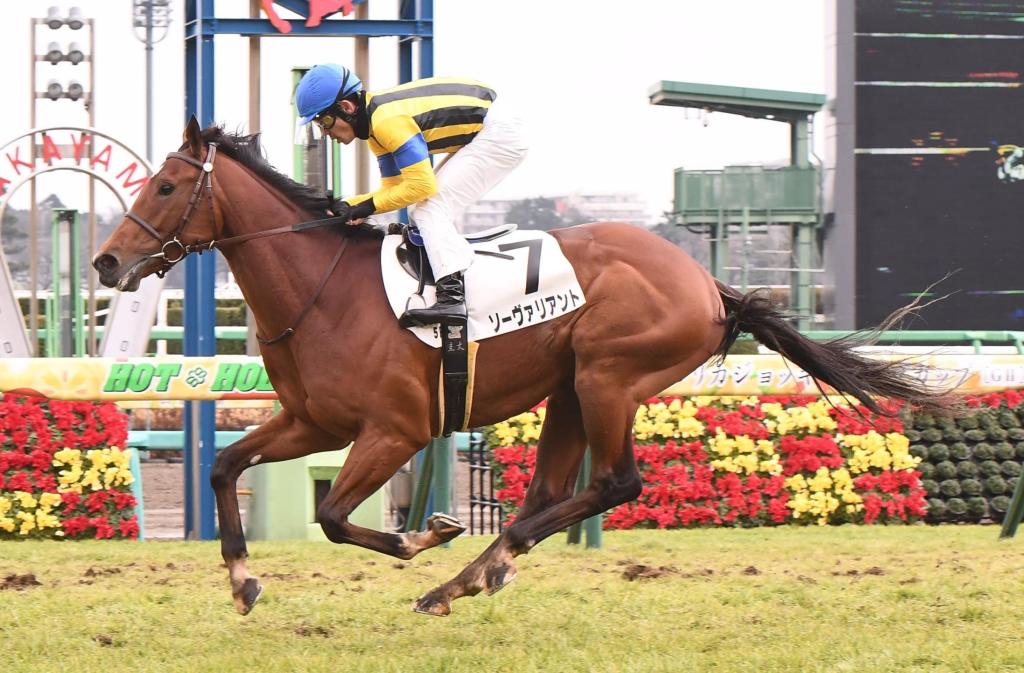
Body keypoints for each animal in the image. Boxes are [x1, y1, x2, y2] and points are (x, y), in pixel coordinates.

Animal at [93, 118, 952, 617]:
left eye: (165, 185)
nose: (105, 262)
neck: (321, 288)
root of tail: (710, 284)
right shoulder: (313, 420)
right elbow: (223, 466)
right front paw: (242, 579)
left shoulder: (397, 429)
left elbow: (335, 516)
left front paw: (424, 534)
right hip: (571, 387)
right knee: (550, 492)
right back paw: (474, 574)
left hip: (609, 377)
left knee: (615, 483)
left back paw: (464, 571)